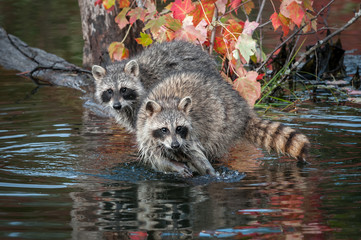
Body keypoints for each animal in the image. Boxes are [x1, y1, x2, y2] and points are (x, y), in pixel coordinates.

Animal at [135, 70, 310, 177]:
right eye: (164, 129)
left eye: (179, 128)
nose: (175, 145)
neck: (167, 101)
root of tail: (242, 109)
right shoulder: (145, 134)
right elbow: (157, 160)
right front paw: (175, 166)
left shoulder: (190, 136)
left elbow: (197, 155)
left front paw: (210, 172)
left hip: (222, 124)